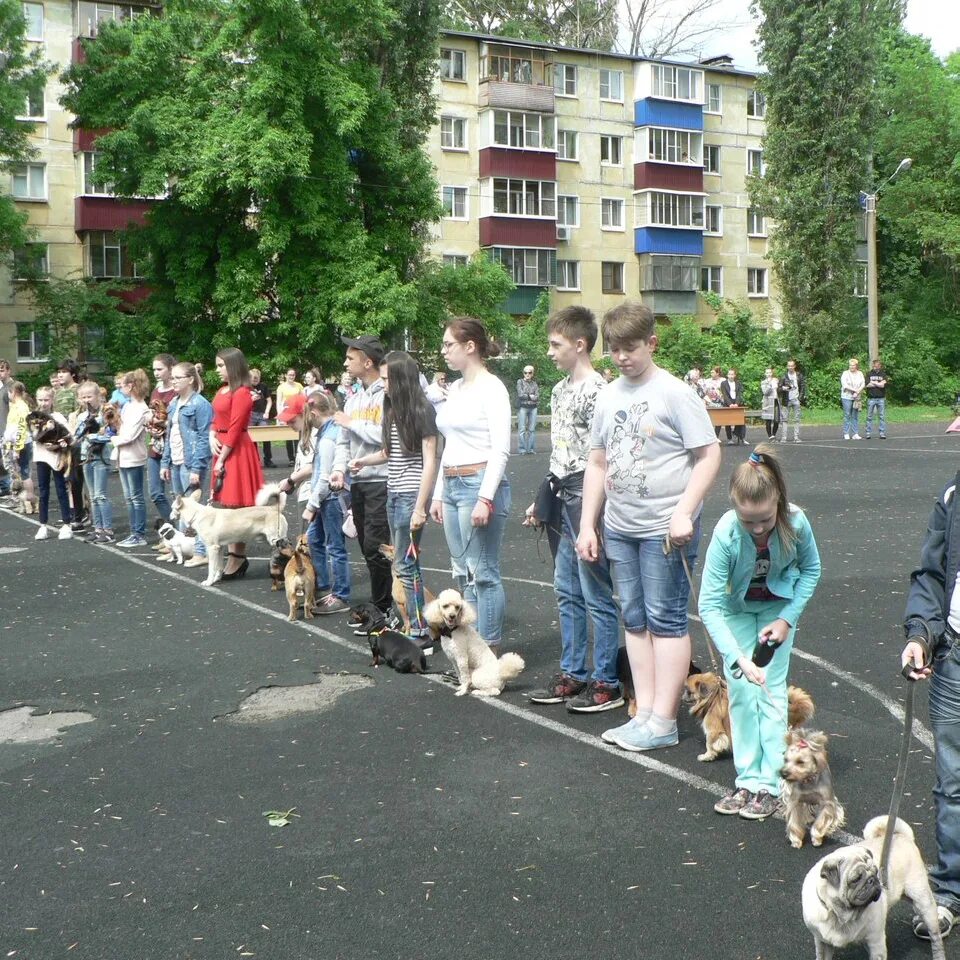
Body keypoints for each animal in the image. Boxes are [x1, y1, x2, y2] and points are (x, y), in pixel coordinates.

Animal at [680, 672, 812, 760]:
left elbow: (710, 744)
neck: (713, 697)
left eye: (689, 692)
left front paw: (706, 756)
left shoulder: (713, 730)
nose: (682, 697)